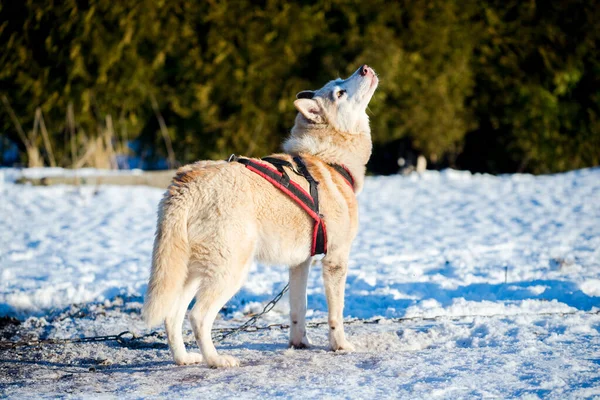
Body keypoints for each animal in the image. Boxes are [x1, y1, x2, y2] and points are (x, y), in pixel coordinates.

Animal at [144, 64, 380, 368]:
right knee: (198, 316)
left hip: (193, 271)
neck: (327, 159)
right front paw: (340, 345)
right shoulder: (336, 260)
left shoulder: (300, 263)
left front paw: (299, 343)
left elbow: (298, 309)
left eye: (342, 80)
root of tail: (186, 184)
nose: (364, 68)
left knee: (173, 314)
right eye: (339, 92)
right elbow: (336, 314)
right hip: (230, 270)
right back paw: (216, 360)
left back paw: (184, 358)